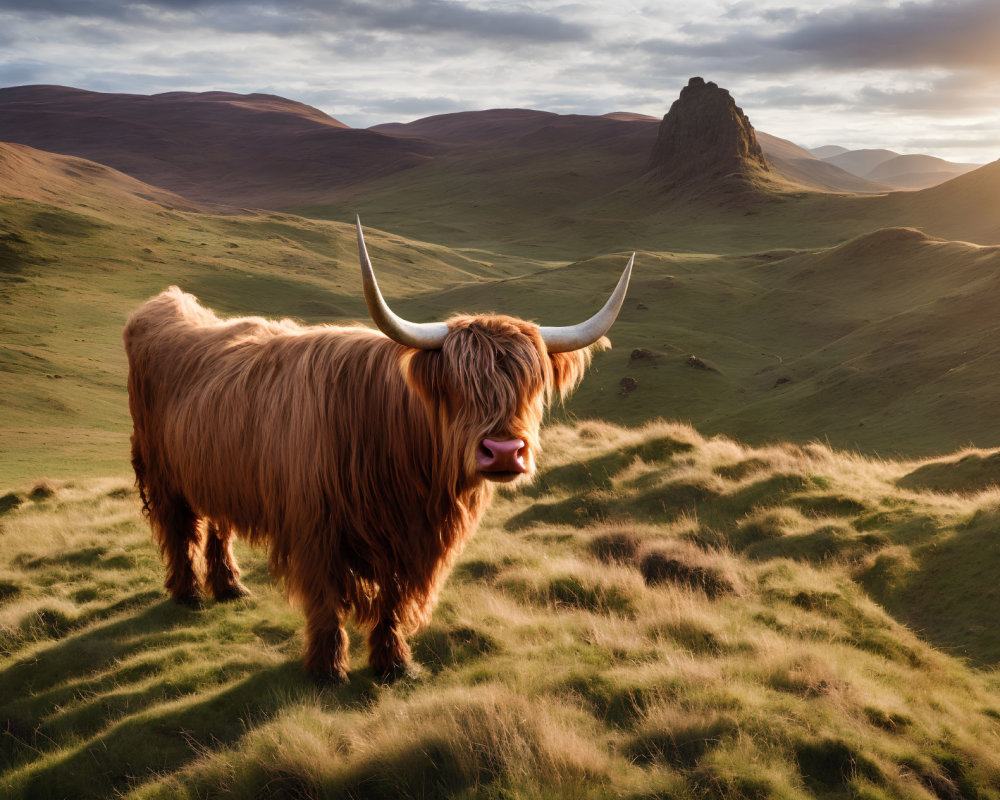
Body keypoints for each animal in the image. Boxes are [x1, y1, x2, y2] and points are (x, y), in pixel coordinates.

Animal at [125, 217, 632, 680]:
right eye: (456, 387)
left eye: (532, 385)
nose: (504, 451)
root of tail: (166, 303)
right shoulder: (316, 530)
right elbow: (326, 602)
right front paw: (327, 669)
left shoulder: (411, 544)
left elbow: (393, 601)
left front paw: (394, 663)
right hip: (162, 469)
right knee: (179, 529)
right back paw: (188, 593)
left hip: (217, 469)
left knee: (218, 524)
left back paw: (229, 586)